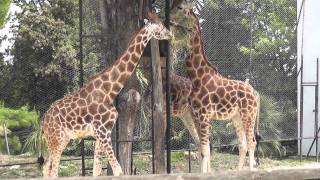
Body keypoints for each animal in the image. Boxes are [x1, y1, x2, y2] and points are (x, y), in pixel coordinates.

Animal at [42, 12, 172, 177]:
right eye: (160, 26)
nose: (170, 34)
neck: (110, 91)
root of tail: (43, 120)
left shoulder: (102, 132)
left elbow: (97, 171)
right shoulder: (103, 131)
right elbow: (118, 170)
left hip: (61, 138)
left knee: (46, 166)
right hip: (56, 138)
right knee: (53, 170)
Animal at [176, 1, 262, 173]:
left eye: (180, 8)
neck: (196, 78)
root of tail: (256, 94)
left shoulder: (204, 115)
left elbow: (205, 149)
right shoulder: (196, 115)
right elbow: (203, 149)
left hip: (248, 114)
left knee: (251, 143)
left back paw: (250, 172)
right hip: (236, 117)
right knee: (243, 144)